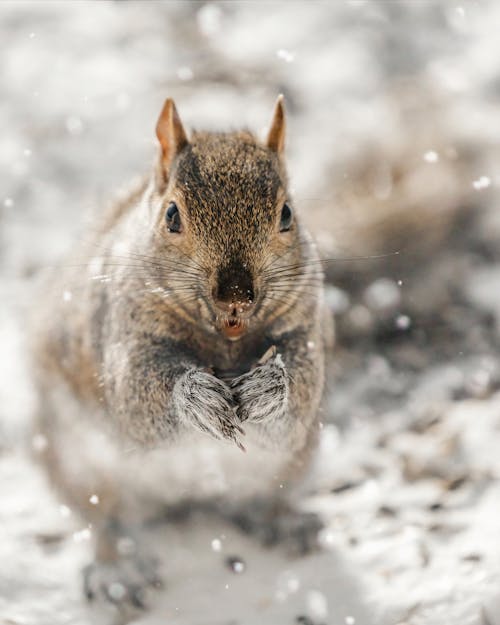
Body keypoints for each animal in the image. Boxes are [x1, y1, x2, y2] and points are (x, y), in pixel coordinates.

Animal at [30, 97, 328, 608]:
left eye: (287, 214)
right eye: (172, 215)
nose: (236, 294)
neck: (223, 340)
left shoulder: (306, 328)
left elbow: (303, 382)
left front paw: (270, 388)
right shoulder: (123, 337)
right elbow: (139, 393)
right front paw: (198, 398)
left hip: (295, 460)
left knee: (259, 498)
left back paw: (282, 519)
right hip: (79, 463)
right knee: (105, 520)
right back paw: (117, 570)